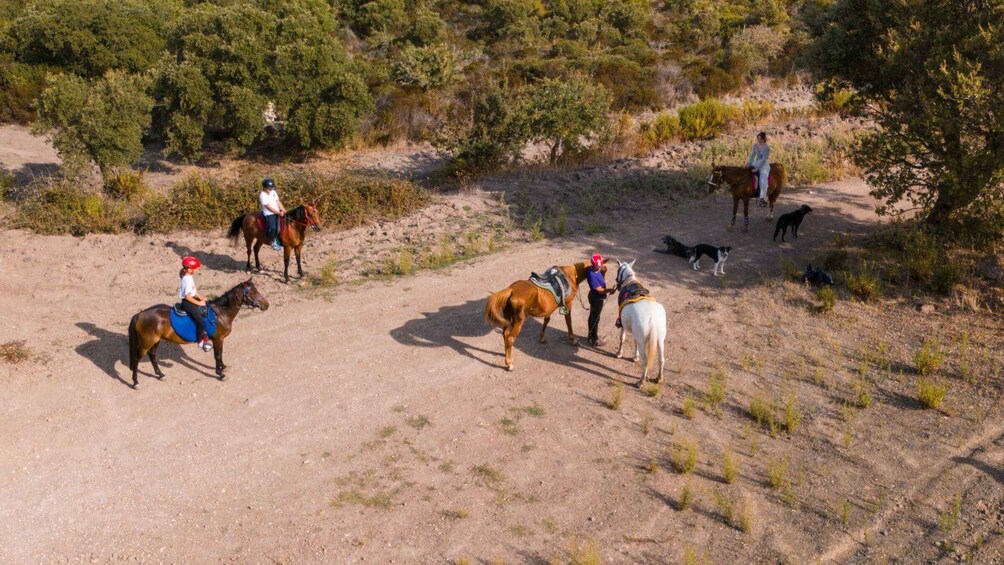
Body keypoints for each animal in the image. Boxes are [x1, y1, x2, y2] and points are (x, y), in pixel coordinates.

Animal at [127, 278, 269, 389]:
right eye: (252, 292)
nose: (266, 305)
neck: (220, 313)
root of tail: (139, 314)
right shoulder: (217, 339)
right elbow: (217, 355)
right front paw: (220, 374)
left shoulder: (220, 339)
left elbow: (220, 354)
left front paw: (223, 367)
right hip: (146, 342)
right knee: (137, 359)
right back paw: (135, 382)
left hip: (155, 341)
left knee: (152, 355)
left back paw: (160, 374)